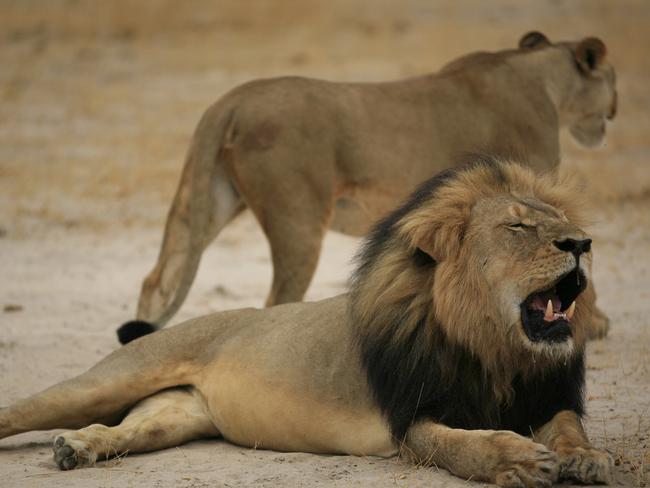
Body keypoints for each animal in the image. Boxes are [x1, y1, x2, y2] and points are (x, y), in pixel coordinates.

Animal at [0, 161, 612, 488]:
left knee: (125, 430)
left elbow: (568, 428)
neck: (495, 351)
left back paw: (76, 449)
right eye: (517, 227)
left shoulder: (548, 397)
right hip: (110, 379)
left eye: (562, 221)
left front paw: (585, 458)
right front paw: (518, 459)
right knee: (26, 409)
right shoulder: (412, 421)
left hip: (176, 416)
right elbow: (465, 447)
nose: (582, 244)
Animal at [117, 31, 616, 344]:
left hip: (209, 201)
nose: (614, 109)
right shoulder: (528, 190)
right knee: (277, 299)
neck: (544, 79)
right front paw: (593, 324)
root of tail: (230, 99)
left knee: (157, 279)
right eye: (611, 80)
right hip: (298, 220)